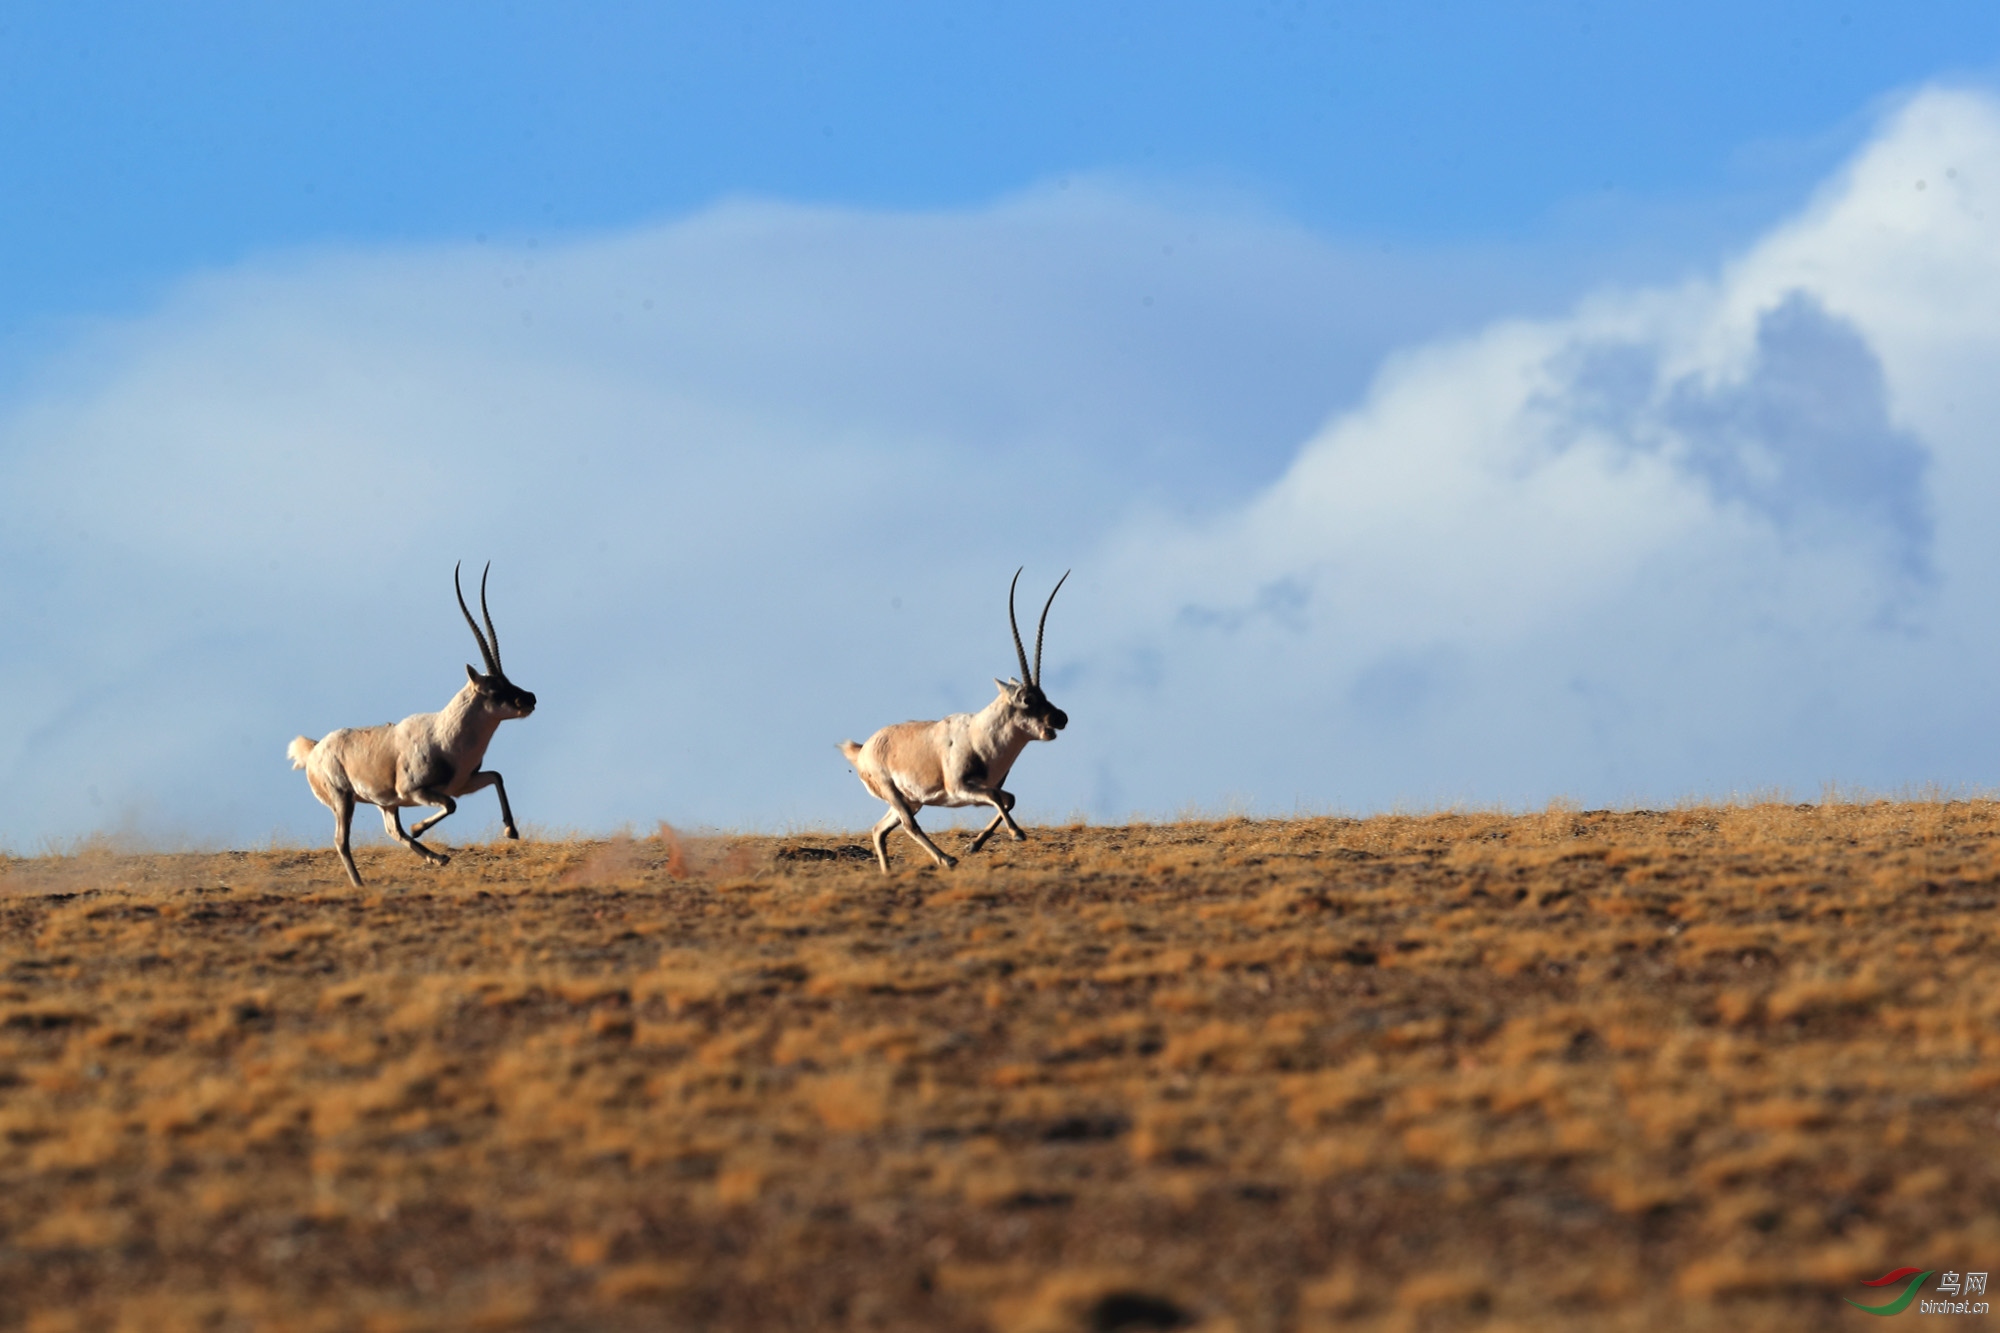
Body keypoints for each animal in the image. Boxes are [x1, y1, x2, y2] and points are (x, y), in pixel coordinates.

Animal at [288, 560, 540, 880]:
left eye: (507, 680)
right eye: (494, 689)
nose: (530, 698)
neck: (445, 736)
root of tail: (314, 749)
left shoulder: (463, 782)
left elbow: (496, 776)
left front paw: (511, 831)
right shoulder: (416, 792)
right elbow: (451, 806)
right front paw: (419, 826)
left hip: (385, 804)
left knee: (392, 831)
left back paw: (437, 858)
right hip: (343, 799)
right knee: (341, 840)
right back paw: (362, 884)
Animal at [836, 564, 1072, 868]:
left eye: (1043, 694)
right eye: (1027, 699)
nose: (1060, 718)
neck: (979, 735)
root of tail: (863, 749)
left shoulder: (984, 789)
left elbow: (1008, 799)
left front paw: (975, 845)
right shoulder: (961, 788)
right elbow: (997, 798)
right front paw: (1017, 834)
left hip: (912, 800)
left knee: (880, 830)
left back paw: (889, 872)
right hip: (894, 793)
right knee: (909, 825)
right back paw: (947, 860)